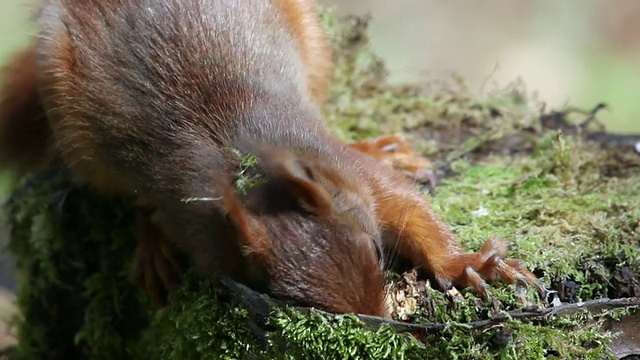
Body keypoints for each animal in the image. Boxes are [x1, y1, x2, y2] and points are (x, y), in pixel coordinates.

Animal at [0, 0, 544, 318]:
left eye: (375, 250)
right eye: (293, 298)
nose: (378, 318)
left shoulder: (352, 176)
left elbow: (411, 209)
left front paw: (469, 264)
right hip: (76, 134)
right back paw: (150, 245)